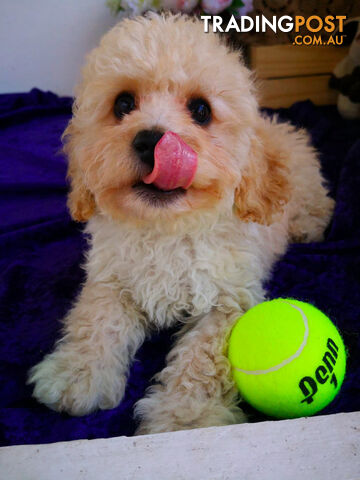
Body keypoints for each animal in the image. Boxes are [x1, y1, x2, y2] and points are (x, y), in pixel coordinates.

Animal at [28, 13, 334, 434]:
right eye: (123, 104)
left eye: (201, 110)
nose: (151, 140)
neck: (167, 228)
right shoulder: (112, 280)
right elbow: (97, 318)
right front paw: (77, 372)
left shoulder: (228, 300)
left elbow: (203, 358)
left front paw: (186, 417)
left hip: (307, 192)